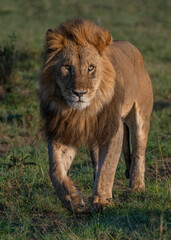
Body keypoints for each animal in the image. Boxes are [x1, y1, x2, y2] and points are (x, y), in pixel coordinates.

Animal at [40, 19, 154, 214]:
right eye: (67, 67)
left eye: (91, 68)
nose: (79, 93)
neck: (81, 112)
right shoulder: (63, 129)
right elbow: (55, 170)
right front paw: (73, 200)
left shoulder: (112, 130)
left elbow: (107, 166)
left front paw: (101, 201)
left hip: (141, 116)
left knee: (139, 153)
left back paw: (136, 188)